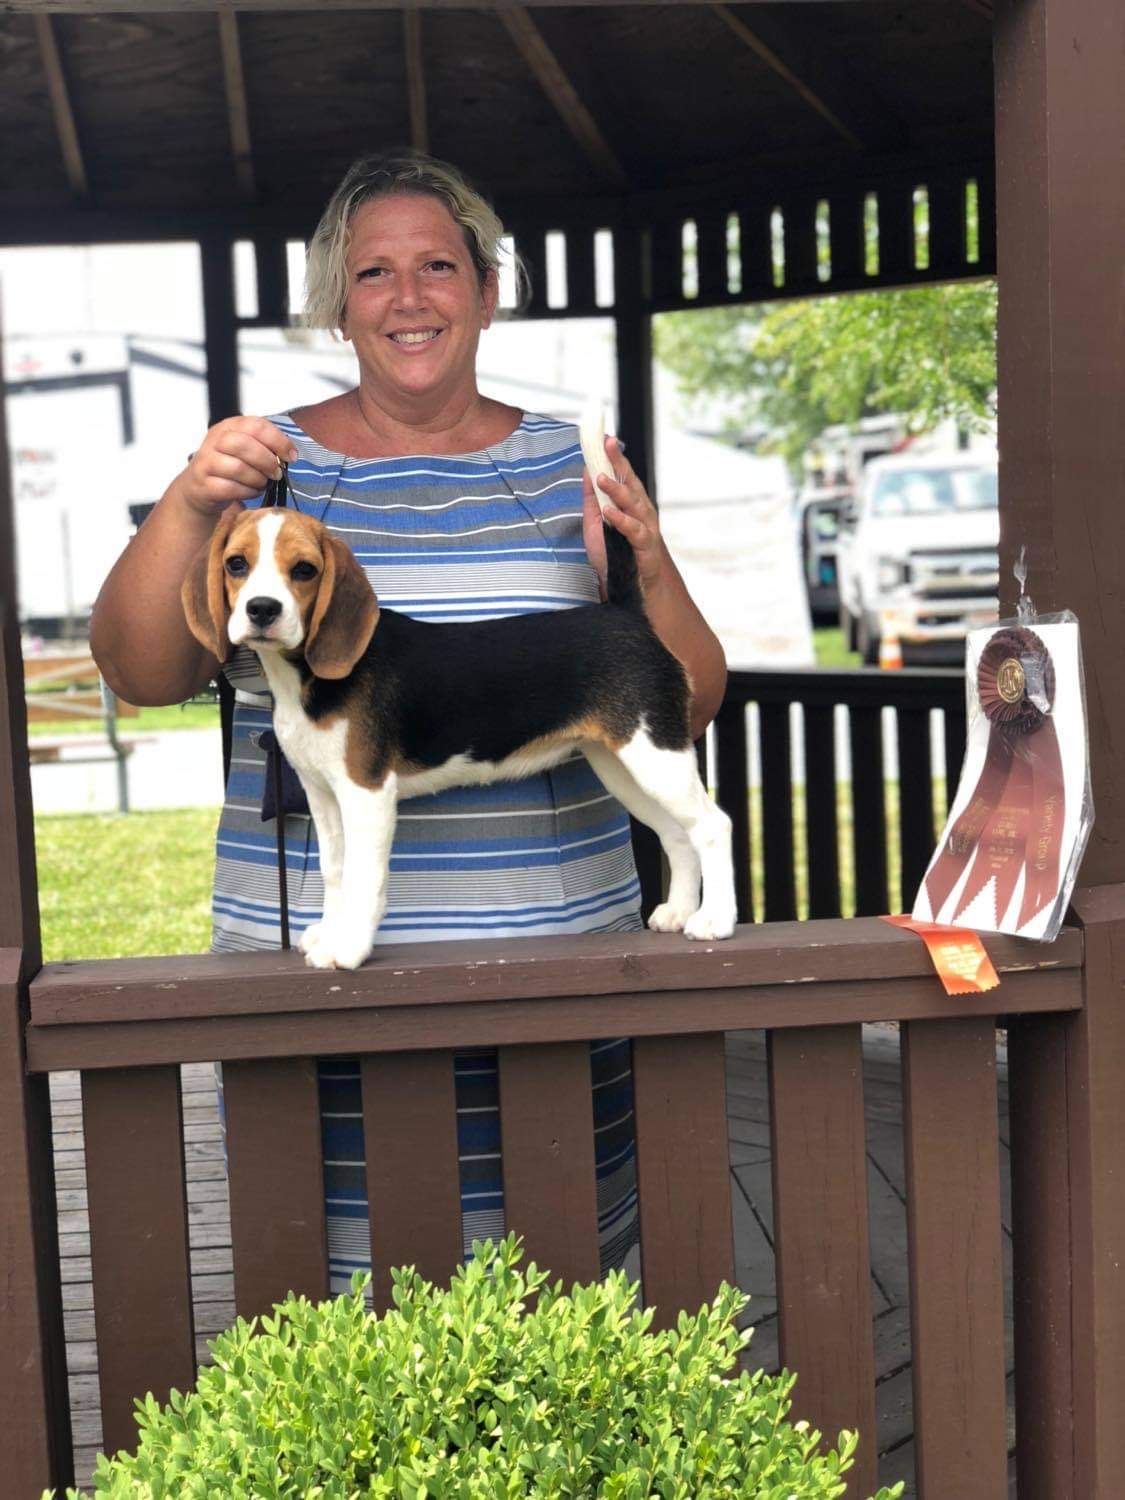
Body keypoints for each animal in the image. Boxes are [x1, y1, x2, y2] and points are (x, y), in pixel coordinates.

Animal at [182, 495, 737, 970]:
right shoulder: (322, 793)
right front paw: (331, 931)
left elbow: (363, 877)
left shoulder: (366, 792)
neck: (305, 678)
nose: (262, 609)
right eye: (236, 564)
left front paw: (350, 947)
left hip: (656, 755)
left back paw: (714, 921)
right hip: (623, 765)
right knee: (678, 833)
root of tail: (624, 614)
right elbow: (335, 869)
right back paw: (678, 912)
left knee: (713, 825)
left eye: (304, 570)